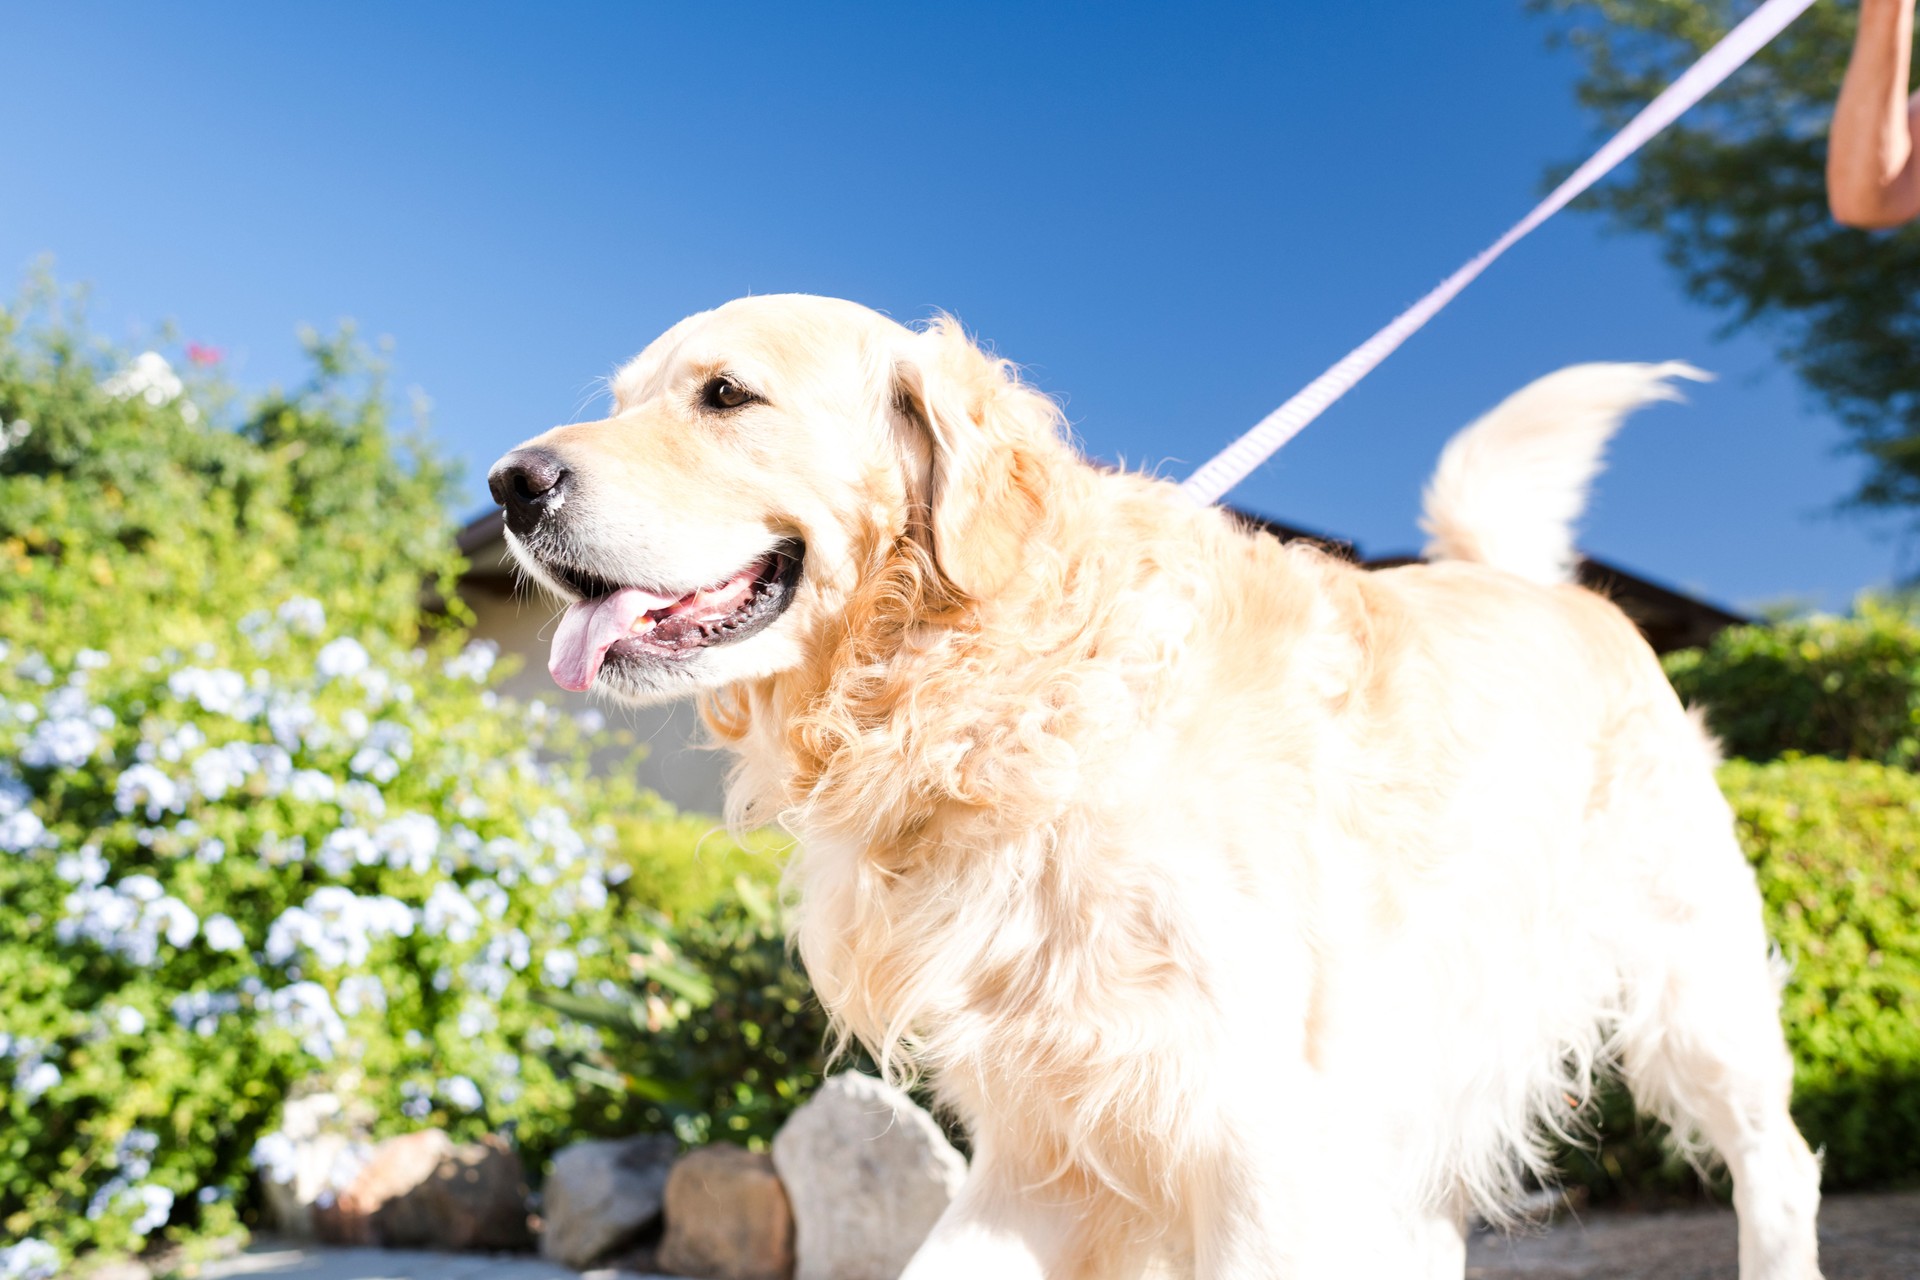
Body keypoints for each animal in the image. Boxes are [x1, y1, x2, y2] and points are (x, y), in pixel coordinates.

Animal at [487, 293, 1820, 1280]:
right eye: (621, 399)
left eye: (727, 394)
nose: (511, 483)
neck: (994, 692)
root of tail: (1543, 585)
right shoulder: (1041, 1136)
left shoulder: (1257, 1140)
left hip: (1690, 990)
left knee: (1779, 1162)